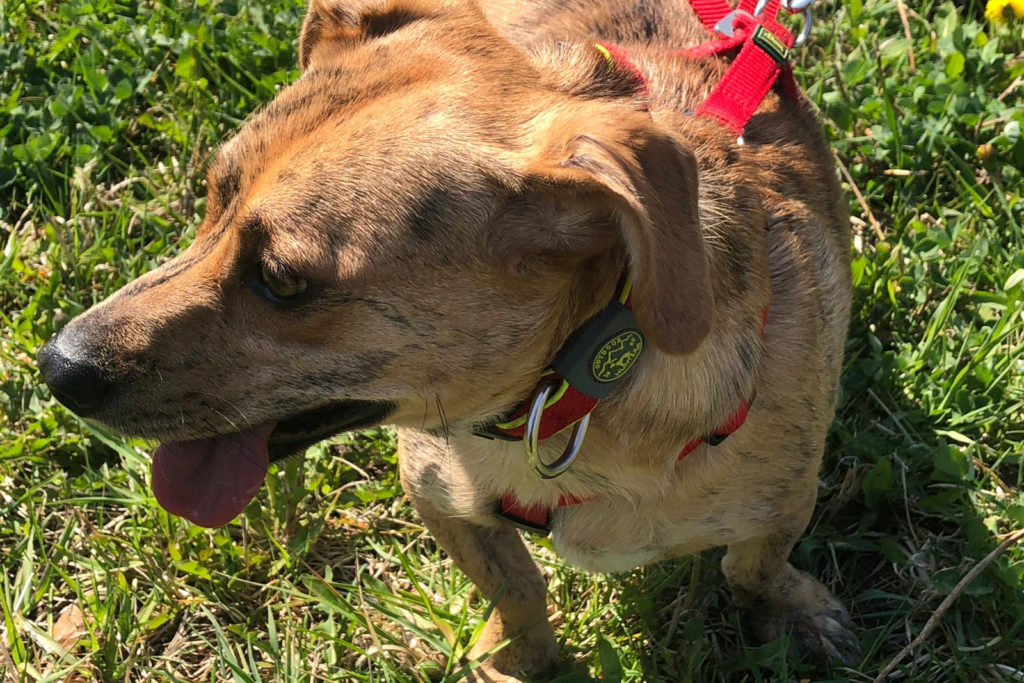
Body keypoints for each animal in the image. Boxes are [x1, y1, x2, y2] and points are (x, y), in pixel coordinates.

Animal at [37, 0, 856, 679]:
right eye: (211, 197)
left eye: (282, 280)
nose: (56, 366)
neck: (565, 404)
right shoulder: (438, 496)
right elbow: (518, 585)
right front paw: (516, 654)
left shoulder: (789, 498)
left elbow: (750, 568)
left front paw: (795, 611)